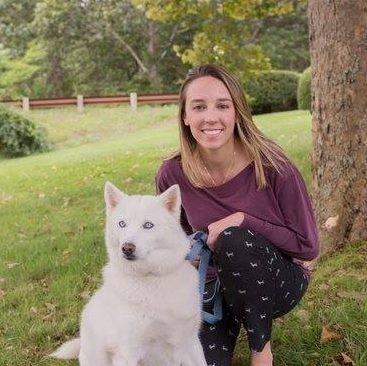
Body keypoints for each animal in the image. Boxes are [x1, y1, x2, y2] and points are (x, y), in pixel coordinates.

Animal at [51, 183, 207, 366]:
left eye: (148, 225)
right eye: (122, 223)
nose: (126, 248)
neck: (150, 278)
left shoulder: (191, 343)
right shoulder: (128, 353)